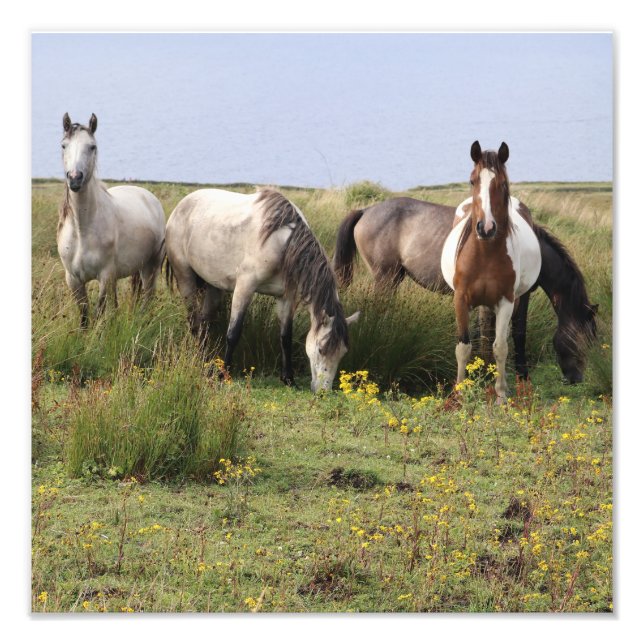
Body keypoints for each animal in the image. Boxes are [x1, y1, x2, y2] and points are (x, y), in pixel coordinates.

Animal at [57, 113, 166, 328]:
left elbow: (99, 312)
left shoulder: (105, 277)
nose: (75, 178)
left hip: (150, 266)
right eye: (64, 145)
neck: (82, 230)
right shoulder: (73, 280)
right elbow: (85, 317)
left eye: (92, 146)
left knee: (147, 296)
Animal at [165, 187, 360, 392]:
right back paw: (201, 362)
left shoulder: (286, 298)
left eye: (343, 352)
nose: (323, 392)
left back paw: (207, 362)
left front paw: (288, 379)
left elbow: (285, 337)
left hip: (213, 287)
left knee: (204, 323)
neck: (282, 243)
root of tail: (181, 205)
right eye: (321, 349)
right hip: (185, 279)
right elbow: (233, 333)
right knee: (194, 323)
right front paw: (224, 375)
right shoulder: (244, 287)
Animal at [333, 157, 597, 386]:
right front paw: (489, 374)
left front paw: (515, 375)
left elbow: (512, 333)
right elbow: (494, 334)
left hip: (394, 277)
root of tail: (366, 210)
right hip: (384, 277)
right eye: (583, 339)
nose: (577, 379)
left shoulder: (517, 296)